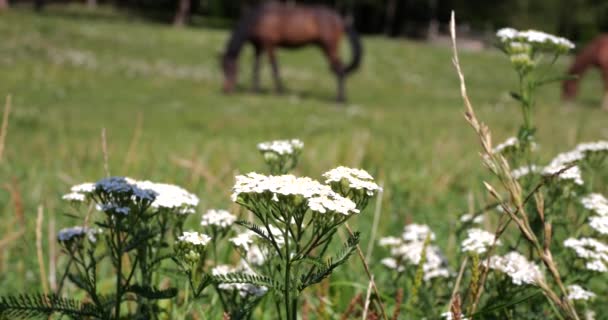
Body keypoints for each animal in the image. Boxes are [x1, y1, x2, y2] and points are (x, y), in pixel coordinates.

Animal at [221, 2, 360, 102]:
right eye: (222, 68)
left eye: (230, 68)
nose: (226, 90)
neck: (258, 18)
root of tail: (340, 19)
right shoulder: (258, 47)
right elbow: (256, 67)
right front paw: (255, 90)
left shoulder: (270, 45)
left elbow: (274, 67)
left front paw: (279, 91)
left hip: (329, 48)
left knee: (340, 69)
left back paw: (340, 99)